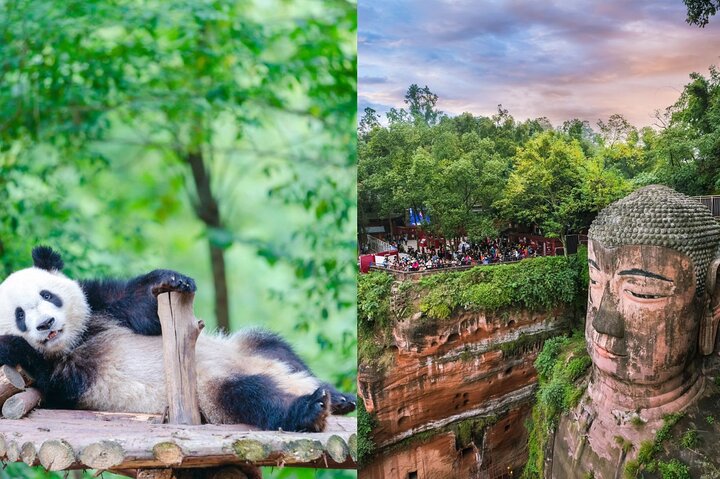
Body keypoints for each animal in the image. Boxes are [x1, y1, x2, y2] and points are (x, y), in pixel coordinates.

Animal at [0, 246, 355, 431]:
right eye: (20, 315)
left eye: (48, 295)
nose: (46, 324)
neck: (76, 340)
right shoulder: (63, 380)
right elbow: (48, 374)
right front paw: (13, 346)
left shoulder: (100, 304)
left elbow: (140, 306)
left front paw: (170, 280)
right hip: (210, 393)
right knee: (250, 396)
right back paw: (309, 408)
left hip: (247, 348)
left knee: (277, 348)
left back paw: (337, 397)